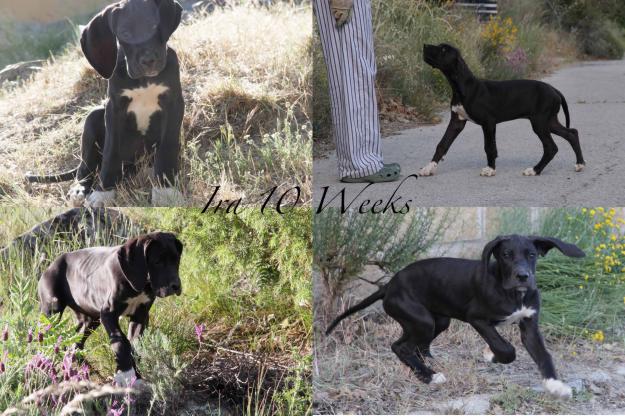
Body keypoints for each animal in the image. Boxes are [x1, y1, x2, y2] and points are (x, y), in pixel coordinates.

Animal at [26, 0, 185, 208]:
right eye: (124, 33)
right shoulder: (114, 109)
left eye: (153, 26)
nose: (149, 61)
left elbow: (167, 148)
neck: (144, 80)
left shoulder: (174, 105)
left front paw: (165, 191)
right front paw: (103, 193)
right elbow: (111, 152)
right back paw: (80, 188)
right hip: (93, 117)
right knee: (86, 167)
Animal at [37, 232, 183, 386]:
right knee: (46, 338)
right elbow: (121, 342)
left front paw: (135, 376)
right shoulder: (108, 314)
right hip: (52, 311)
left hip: (91, 318)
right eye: (157, 262)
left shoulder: (141, 315)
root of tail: (49, 266)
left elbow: (135, 344)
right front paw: (124, 373)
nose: (176, 286)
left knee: (76, 341)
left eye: (176, 259)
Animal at [326, 236, 584, 398]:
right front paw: (491, 355)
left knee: (415, 346)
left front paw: (556, 386)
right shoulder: (477, 318)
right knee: (400, 347)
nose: (523, 276)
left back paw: (428, 364)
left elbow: (544, 356)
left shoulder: (529, 325)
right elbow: (506, 349)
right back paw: (429, 376)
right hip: (422, 321)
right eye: (506, 254)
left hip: (436, 321)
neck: (514, 294)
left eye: (531, 254)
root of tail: (389, 285)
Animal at [416, 43, 584, 177]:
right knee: (572, 133)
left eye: (444, 49)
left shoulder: (488, 123)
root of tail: (554, 90)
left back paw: (535, 170)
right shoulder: (457, 122)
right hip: (549, 121)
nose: (424, 45)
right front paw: (429, 167)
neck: (464, 88)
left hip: (540, 122)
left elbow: (490, 147)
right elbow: (442, 145)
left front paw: (490, 169)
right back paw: (580, 164)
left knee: (551, 147)